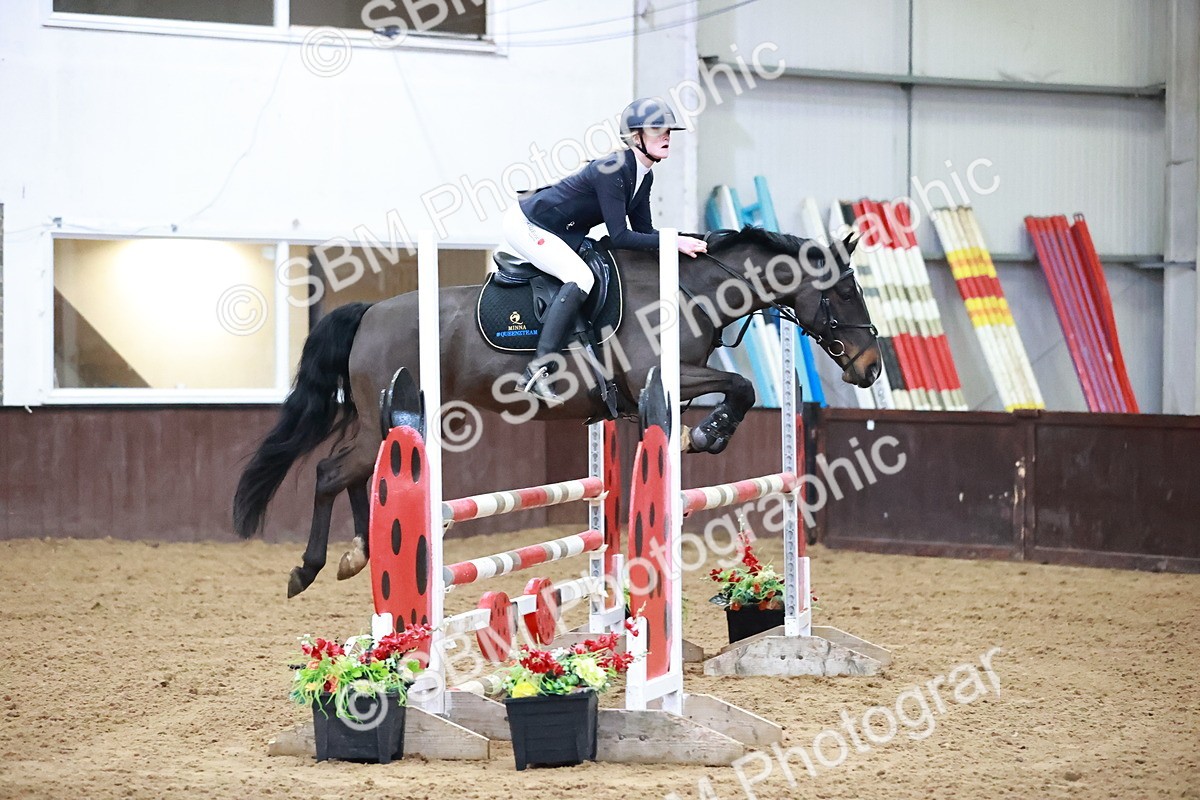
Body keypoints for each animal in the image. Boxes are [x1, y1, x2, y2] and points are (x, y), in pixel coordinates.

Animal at [233, 227, 882, 597]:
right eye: (846, 292)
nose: (870, 368)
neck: (688, 290)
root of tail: (368, 311)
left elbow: (737, 389)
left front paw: (706, 433)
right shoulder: (662, 377)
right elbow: (741, 386)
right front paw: (709, 435)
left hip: (379, 423)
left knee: (353, 471)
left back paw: (358, 553)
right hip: (384, 419)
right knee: (331, 471)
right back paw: (310, 568)